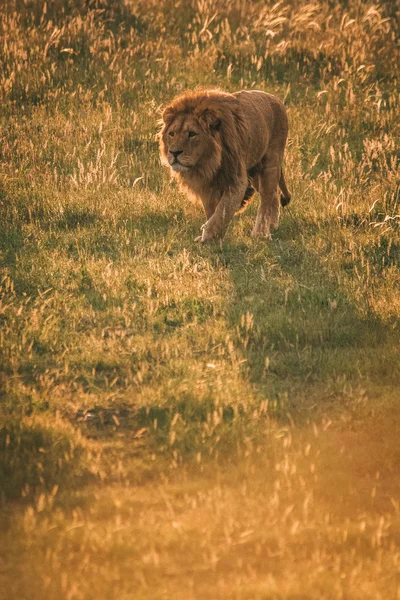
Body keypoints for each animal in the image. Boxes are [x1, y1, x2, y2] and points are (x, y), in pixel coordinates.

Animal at [159, 88, 290, 243]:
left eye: (192, 134)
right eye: (172, 134)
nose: (174, 152)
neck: (207, 163)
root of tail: (276, 98)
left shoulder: (237, 181)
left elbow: (223, 210)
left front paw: (209, 236)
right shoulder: (206, 186)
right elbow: (212, 211)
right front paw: (212, 237)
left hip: (270, 165)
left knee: (266, 197)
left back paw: (260, 233)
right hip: (255, 172)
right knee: (273, 195)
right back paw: (272, 226)